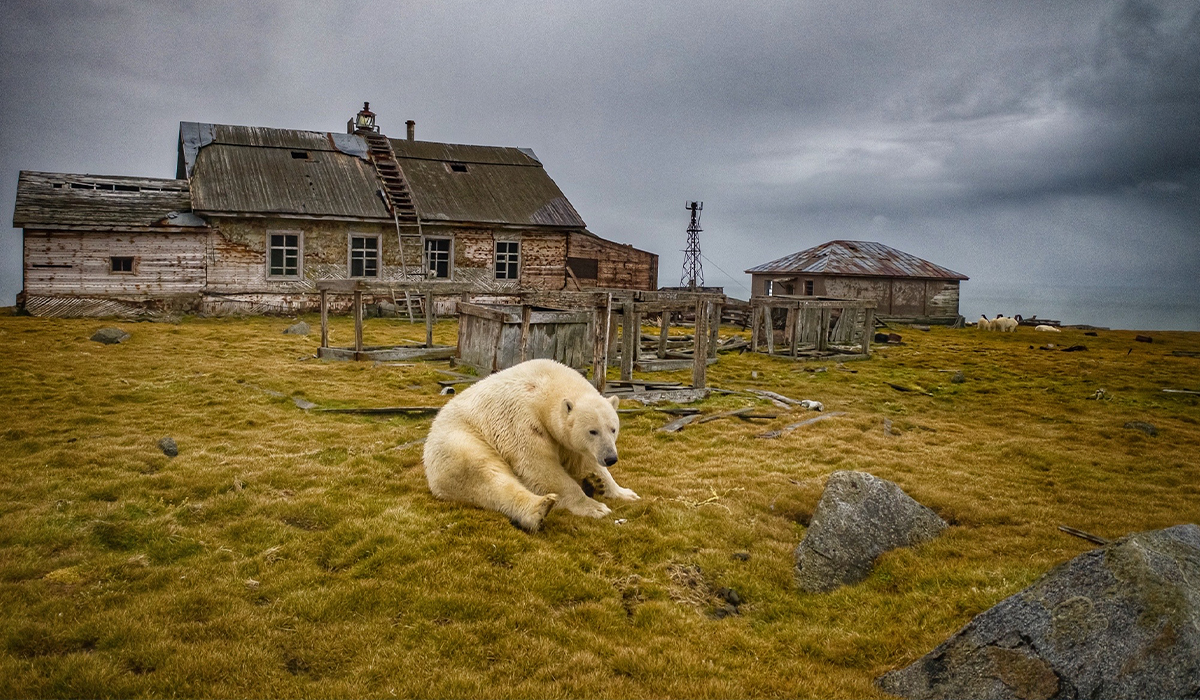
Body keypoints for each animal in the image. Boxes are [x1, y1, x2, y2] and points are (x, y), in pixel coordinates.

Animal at [422, 362, 638, 530]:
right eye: (593, 431)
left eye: (613, 429)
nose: (611, 458)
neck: (545, 384)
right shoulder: (522, 420)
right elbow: (538, 465)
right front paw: (595, 507)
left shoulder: (567, 442)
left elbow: (584, 459)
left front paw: (623, 492)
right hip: (460, 441)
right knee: (485, 474)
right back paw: (540, 508)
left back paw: (592, 484)